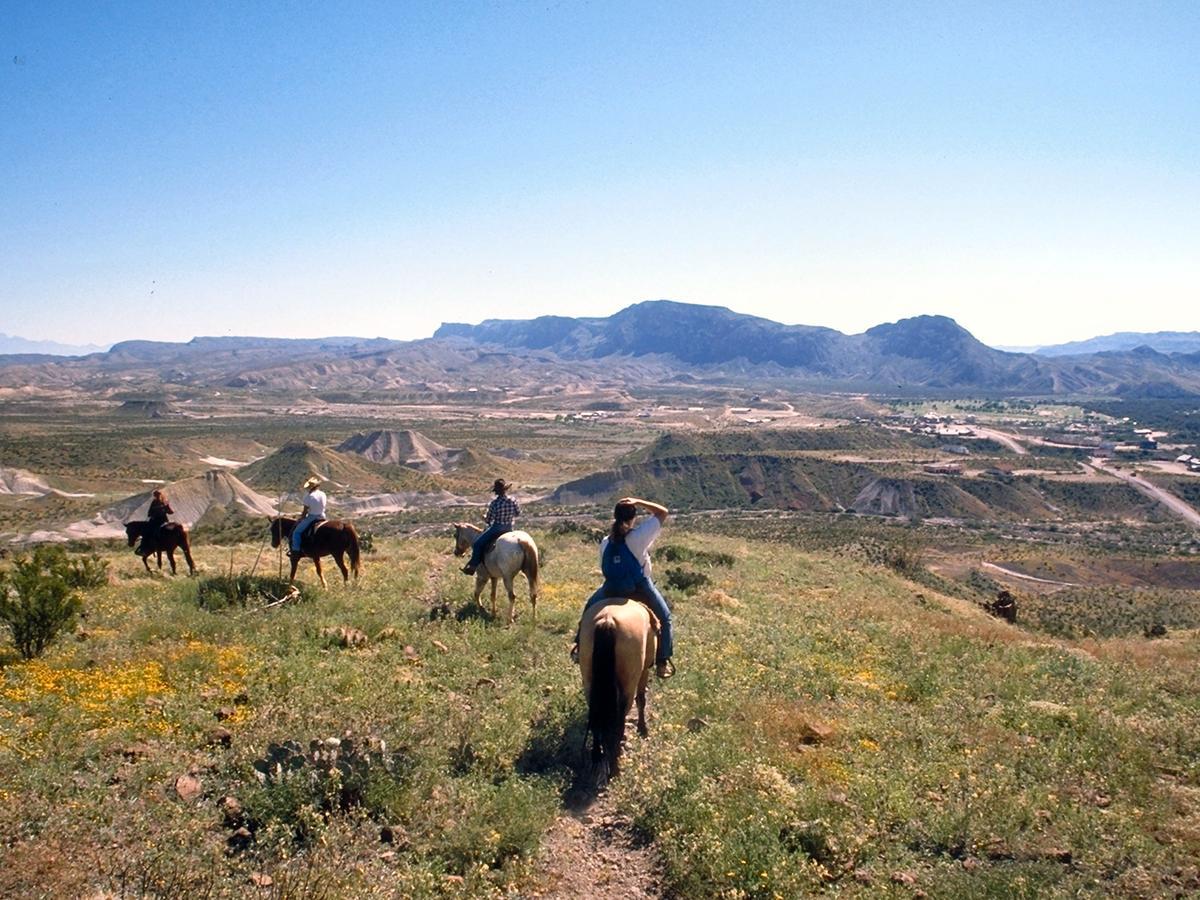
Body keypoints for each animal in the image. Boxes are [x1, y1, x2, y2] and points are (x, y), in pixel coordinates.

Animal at [578, 600, 657, 782]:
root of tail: (608, 620)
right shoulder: (644, 671)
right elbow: (641, 699)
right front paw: (642, 728)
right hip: (628, 685)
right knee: (619, 721)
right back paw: (614, 767)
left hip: (589, 682)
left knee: (596, 719)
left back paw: (597, 756)